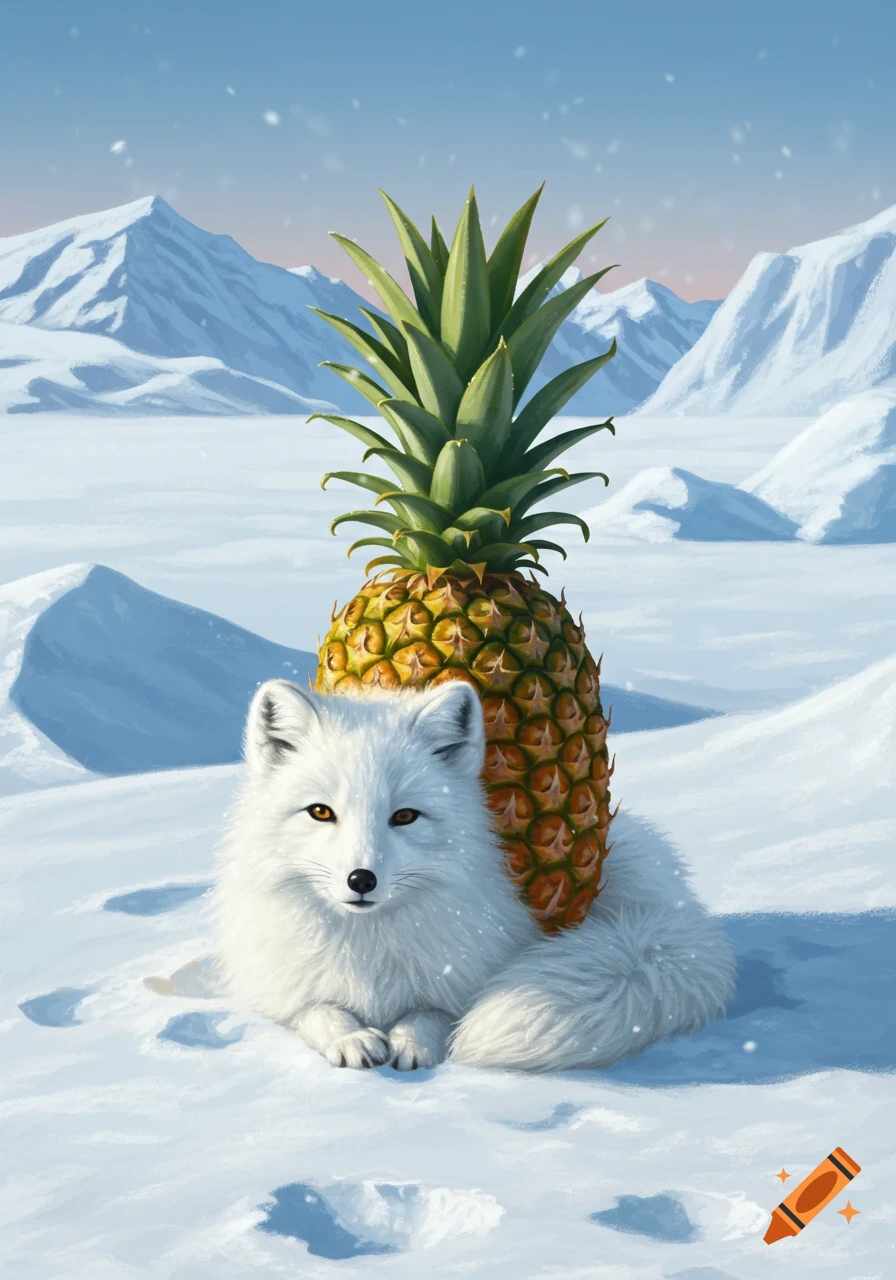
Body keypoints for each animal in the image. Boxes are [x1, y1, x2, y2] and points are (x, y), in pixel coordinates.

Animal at [212, 678, 736, 1072]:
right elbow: (316, 1009)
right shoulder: (273, 987)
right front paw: (352, 1037)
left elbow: (434, 1012)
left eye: (405, 816)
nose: (361, 880)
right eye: (320, 812)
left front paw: (412, 1040)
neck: (369, 947)